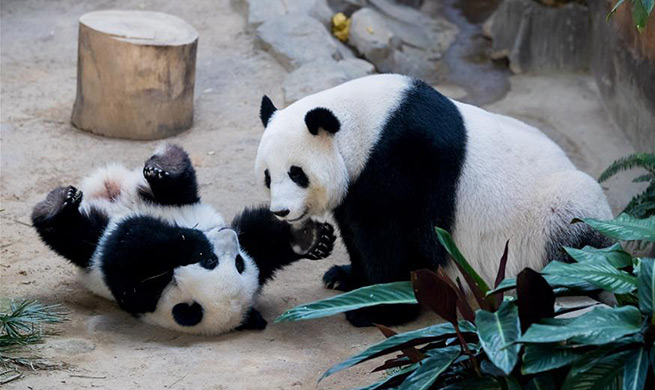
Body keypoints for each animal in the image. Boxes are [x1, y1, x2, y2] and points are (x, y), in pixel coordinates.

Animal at [32, 145, 336, 334]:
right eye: (213, 261)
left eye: (237, 262)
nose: (228, 234)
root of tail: (111, 191)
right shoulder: (144, 295)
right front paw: (311, 238)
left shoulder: (142, 293)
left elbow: (127, 243)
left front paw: (308, 238)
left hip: (95, 239)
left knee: (75, 235)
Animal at [255, 74, 616, 328]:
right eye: (268, 176)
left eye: (297, 173)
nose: (282, 211)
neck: (365, 124)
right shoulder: (358, 185)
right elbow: (358, 235)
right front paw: (345, 277)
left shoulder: (403, 162)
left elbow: (390, 242)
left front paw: (377, 311)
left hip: (559, 215)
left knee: (574, 236)